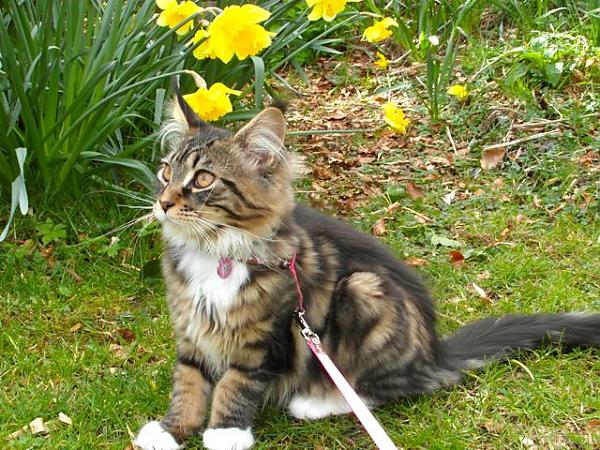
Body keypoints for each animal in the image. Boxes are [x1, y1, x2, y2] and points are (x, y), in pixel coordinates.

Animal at [135, 96, 600, 450]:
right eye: (166, 171)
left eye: (203, 180)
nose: (163, 202)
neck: (213, 252)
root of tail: (435, 351)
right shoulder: (191, 329)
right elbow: (189, 383)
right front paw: (171, 431)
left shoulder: (263, 338)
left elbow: (236, 386)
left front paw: (224, 434)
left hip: (362, 292)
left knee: (380, 389)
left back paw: (314, 402)